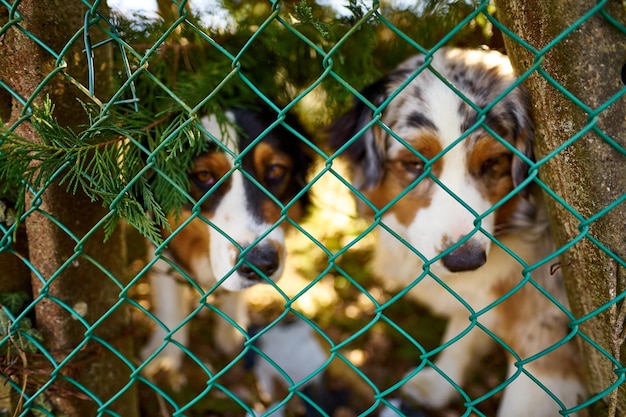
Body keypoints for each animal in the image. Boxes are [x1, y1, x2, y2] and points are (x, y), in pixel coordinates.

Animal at [139, 108, 310, 376]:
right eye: (204, 175)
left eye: (275, 170)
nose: (260, 263)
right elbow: (170, 297)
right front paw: (164, 355)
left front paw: (231, 332)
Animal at [326, 48, 584, 416]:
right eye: (415, 165)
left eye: (491, 164)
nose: (465, 261)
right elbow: (463, 331)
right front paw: (437, 383)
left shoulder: (546, 341)